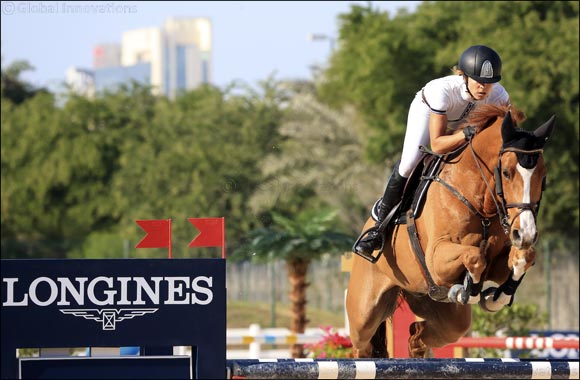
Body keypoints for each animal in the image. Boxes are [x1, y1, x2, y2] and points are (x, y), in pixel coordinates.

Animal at [346, 104, 556, 360]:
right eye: (506, 173)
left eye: (543, 176)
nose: (525, 234)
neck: (480, 200)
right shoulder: (437, 259)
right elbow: (475, 257)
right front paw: (470, 290)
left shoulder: (497, 261)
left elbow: (524, 257)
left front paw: (496, 296)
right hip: (364, 313)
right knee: (362, 345)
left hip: (442, 313)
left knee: (419, 334)